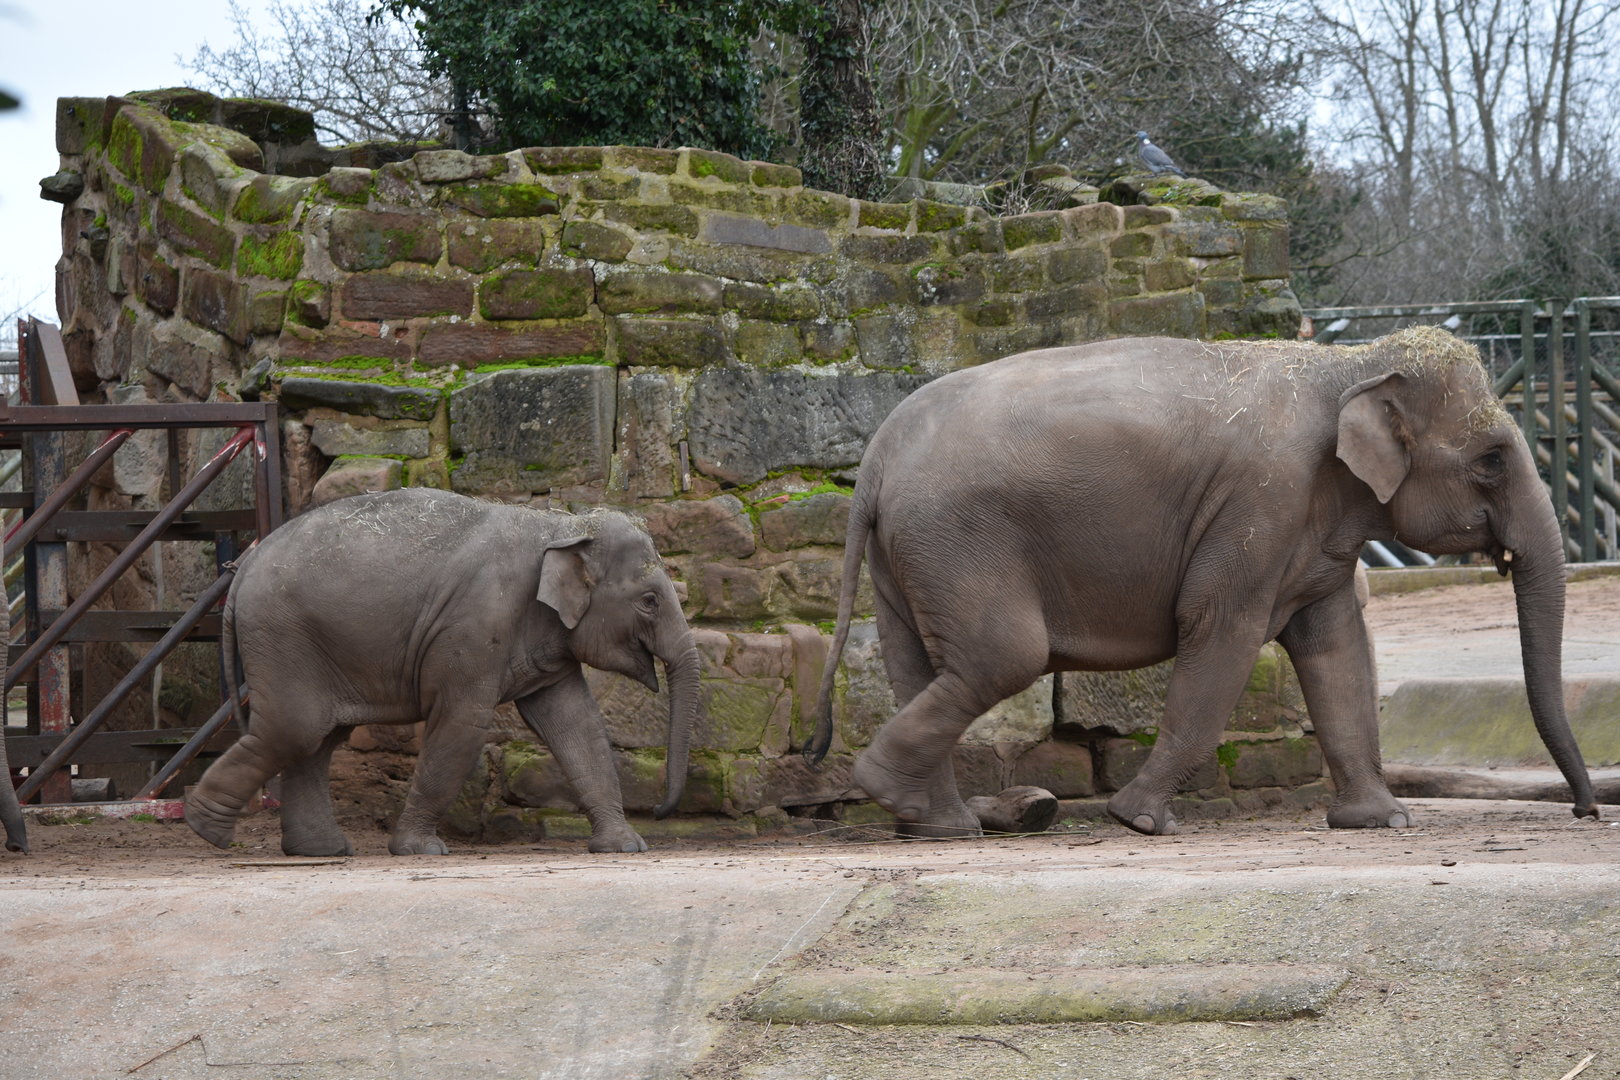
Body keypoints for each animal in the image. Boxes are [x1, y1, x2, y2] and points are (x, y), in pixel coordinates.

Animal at [185, 487, 700, 856]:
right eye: (649, 601)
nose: (660, 810)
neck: (560, 525)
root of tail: (242, 566)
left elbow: (576, 723)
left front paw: (624, 846)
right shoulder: (473, 628)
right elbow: (462, 725)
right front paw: (421, 850)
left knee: (317, 739)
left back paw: (320, 851)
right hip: (283, 636)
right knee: (295, 730)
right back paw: (207, 829)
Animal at [809, 326, 1598, 837]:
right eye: (1492, 458)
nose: (1586, 810)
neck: (1345, 365)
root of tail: (876, 454)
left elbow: (1336, 647)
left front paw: (1380, 821)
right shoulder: (1261, 504)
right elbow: (1221, 631)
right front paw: (1139, 821)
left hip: (906, 553)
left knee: (920, 666)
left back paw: (933, 824)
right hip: (957, 539)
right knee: (1003, 657)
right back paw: (896, 796)